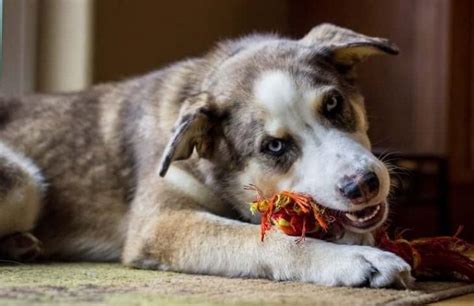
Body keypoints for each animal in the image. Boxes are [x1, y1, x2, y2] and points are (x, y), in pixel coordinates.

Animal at [0, 23, 412, 286]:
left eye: (333, 104)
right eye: (274, 146)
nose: (364, 185)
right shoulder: (160, 223)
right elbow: (262, 239)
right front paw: (358, 261)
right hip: (23, 182)